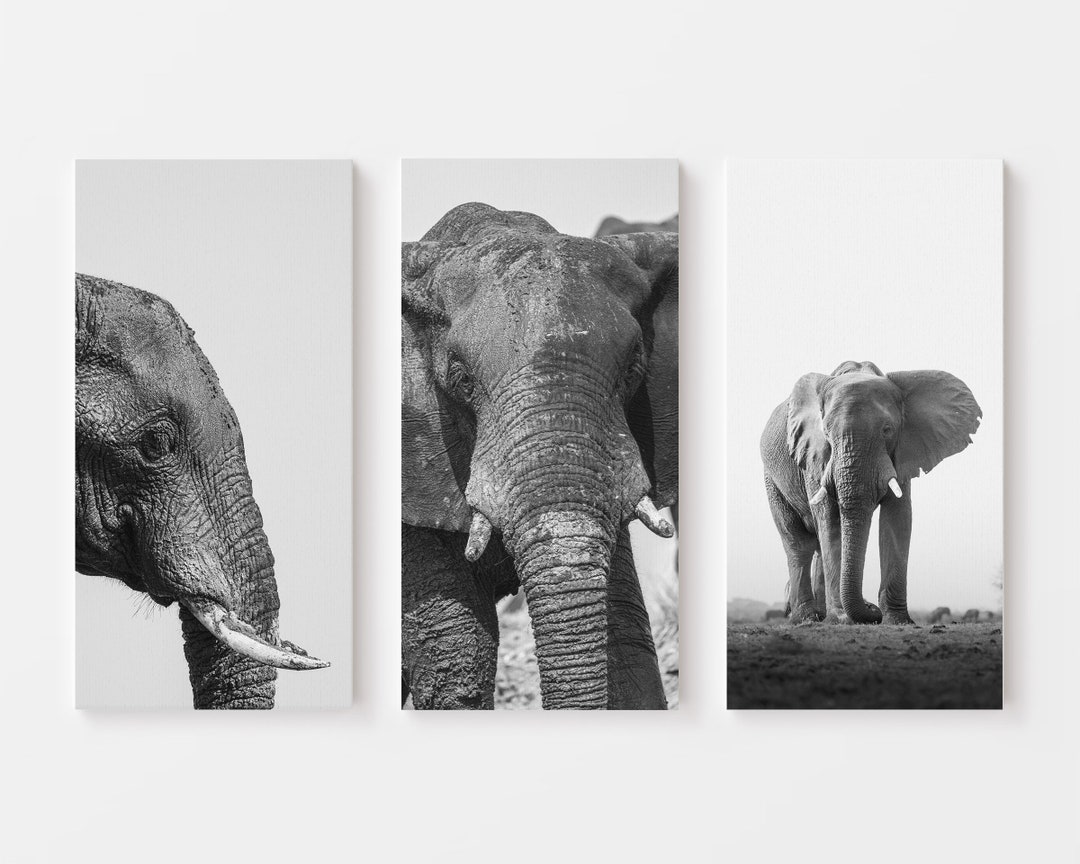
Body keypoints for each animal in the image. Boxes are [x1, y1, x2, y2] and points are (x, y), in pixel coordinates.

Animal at [761, 360, 981, 625]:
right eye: (826, 432)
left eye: (887, 430)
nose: (871, 608)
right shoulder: (814, 457)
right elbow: (830, 519)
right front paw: (844, 618)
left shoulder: (903, 451)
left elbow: (898, 517)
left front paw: (897, 621)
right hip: (772, 480)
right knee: (798, 543)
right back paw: (808, 618)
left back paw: (822, 617)